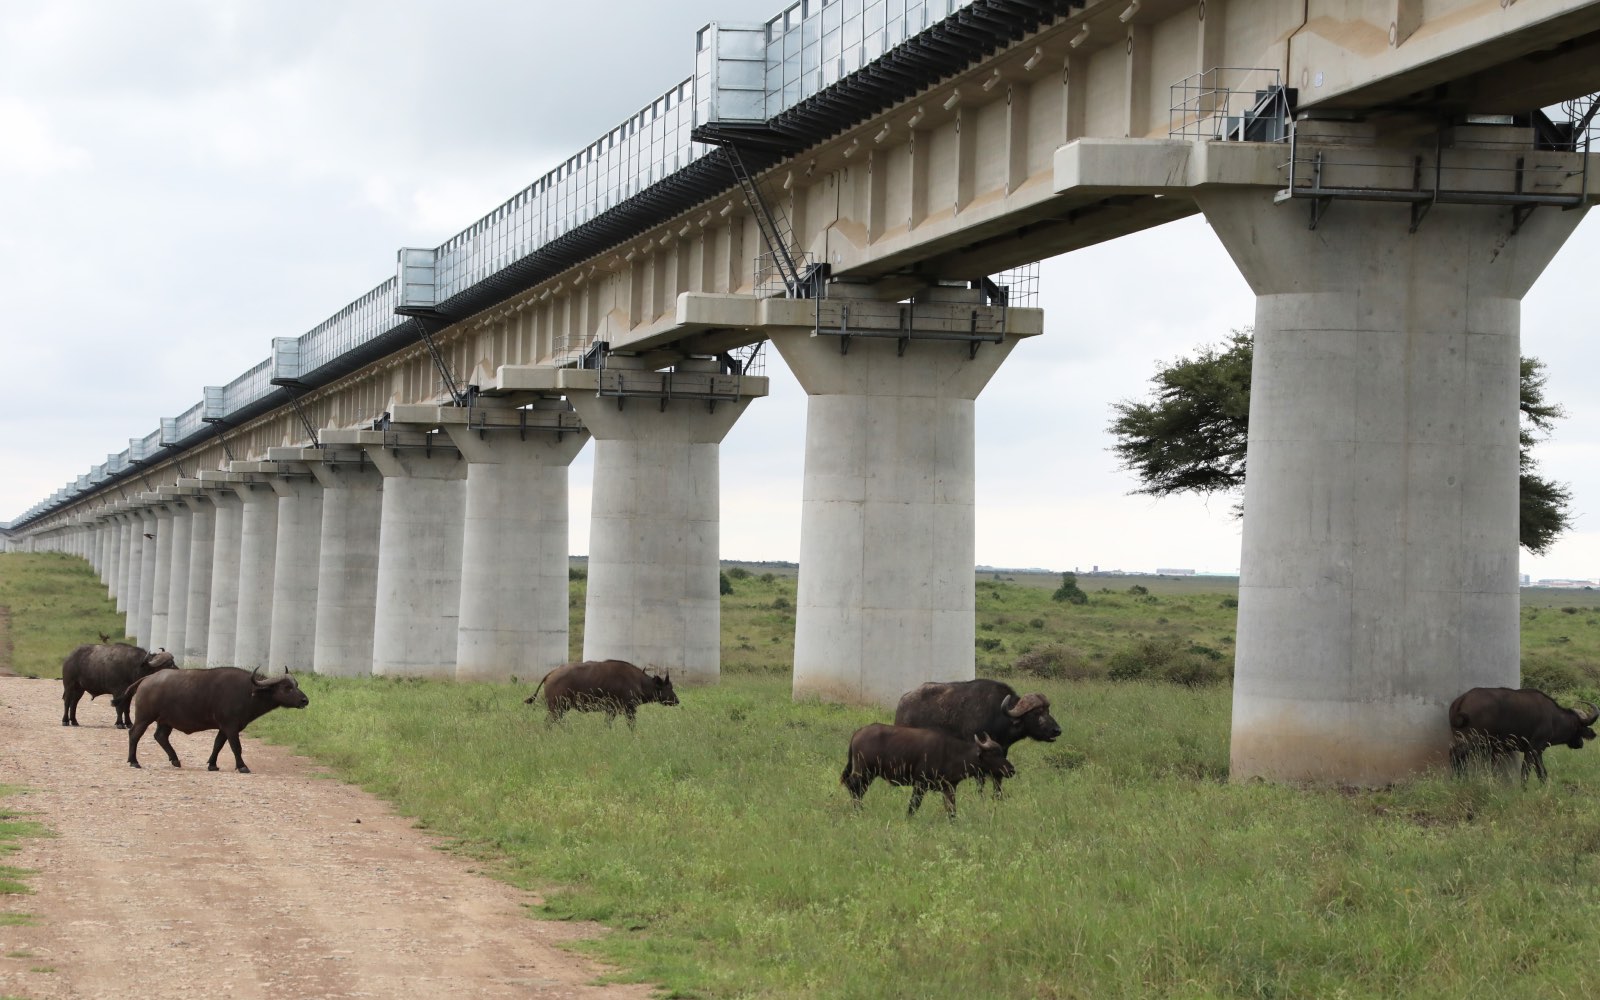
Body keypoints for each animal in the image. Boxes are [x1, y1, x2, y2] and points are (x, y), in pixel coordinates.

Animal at [125, 667, 309, 773]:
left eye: (296, 685)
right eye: (287, 688)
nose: (305, 700)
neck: (248, 691)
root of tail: (147, 679)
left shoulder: (224, 728)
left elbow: (218, 744)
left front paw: (212, 765)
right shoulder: (231, 726)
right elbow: (236, 747)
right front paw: (242, 766)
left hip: (165, 721)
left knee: (160, 736)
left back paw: (175, 760)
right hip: (144, 717)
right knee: (134, 734)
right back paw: (134, 761)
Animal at [524, 659, 678, 726]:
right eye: (668, 687)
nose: (677, 700)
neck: (638, 681)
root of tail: (551, 674)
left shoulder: (611, 711)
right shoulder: (628, 710)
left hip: (560, 709)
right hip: (557, 708)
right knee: (549, 723)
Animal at [840, 723, 1015, 818]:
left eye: (1001, 752)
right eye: (994, 754)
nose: (1011, 769)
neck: (951, 753)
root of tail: (858, 733)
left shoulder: (949, 787)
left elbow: (952, 810)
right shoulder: (920, 784)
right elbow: (913, 806)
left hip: (869, 775)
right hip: (864, 772)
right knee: (853, 786)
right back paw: (858, 810)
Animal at [893, 679, 1061, 795]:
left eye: (1048, 711)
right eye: (1037, 713)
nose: (1057, 730)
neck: (997, 715)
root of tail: (903, 702)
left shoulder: (1001, 754)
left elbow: (998, 778)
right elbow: (980, 779)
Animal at [1449, 687, 1600, 784]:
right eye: (1579, 727)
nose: (1580, 743)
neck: (1553, 718)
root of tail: (1462, 699)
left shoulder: (1538, 752)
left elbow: (1542, 773)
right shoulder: (1532, 749)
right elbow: (1525, 772)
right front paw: (1523, 789)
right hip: (1472, 740)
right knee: (1455, 755)